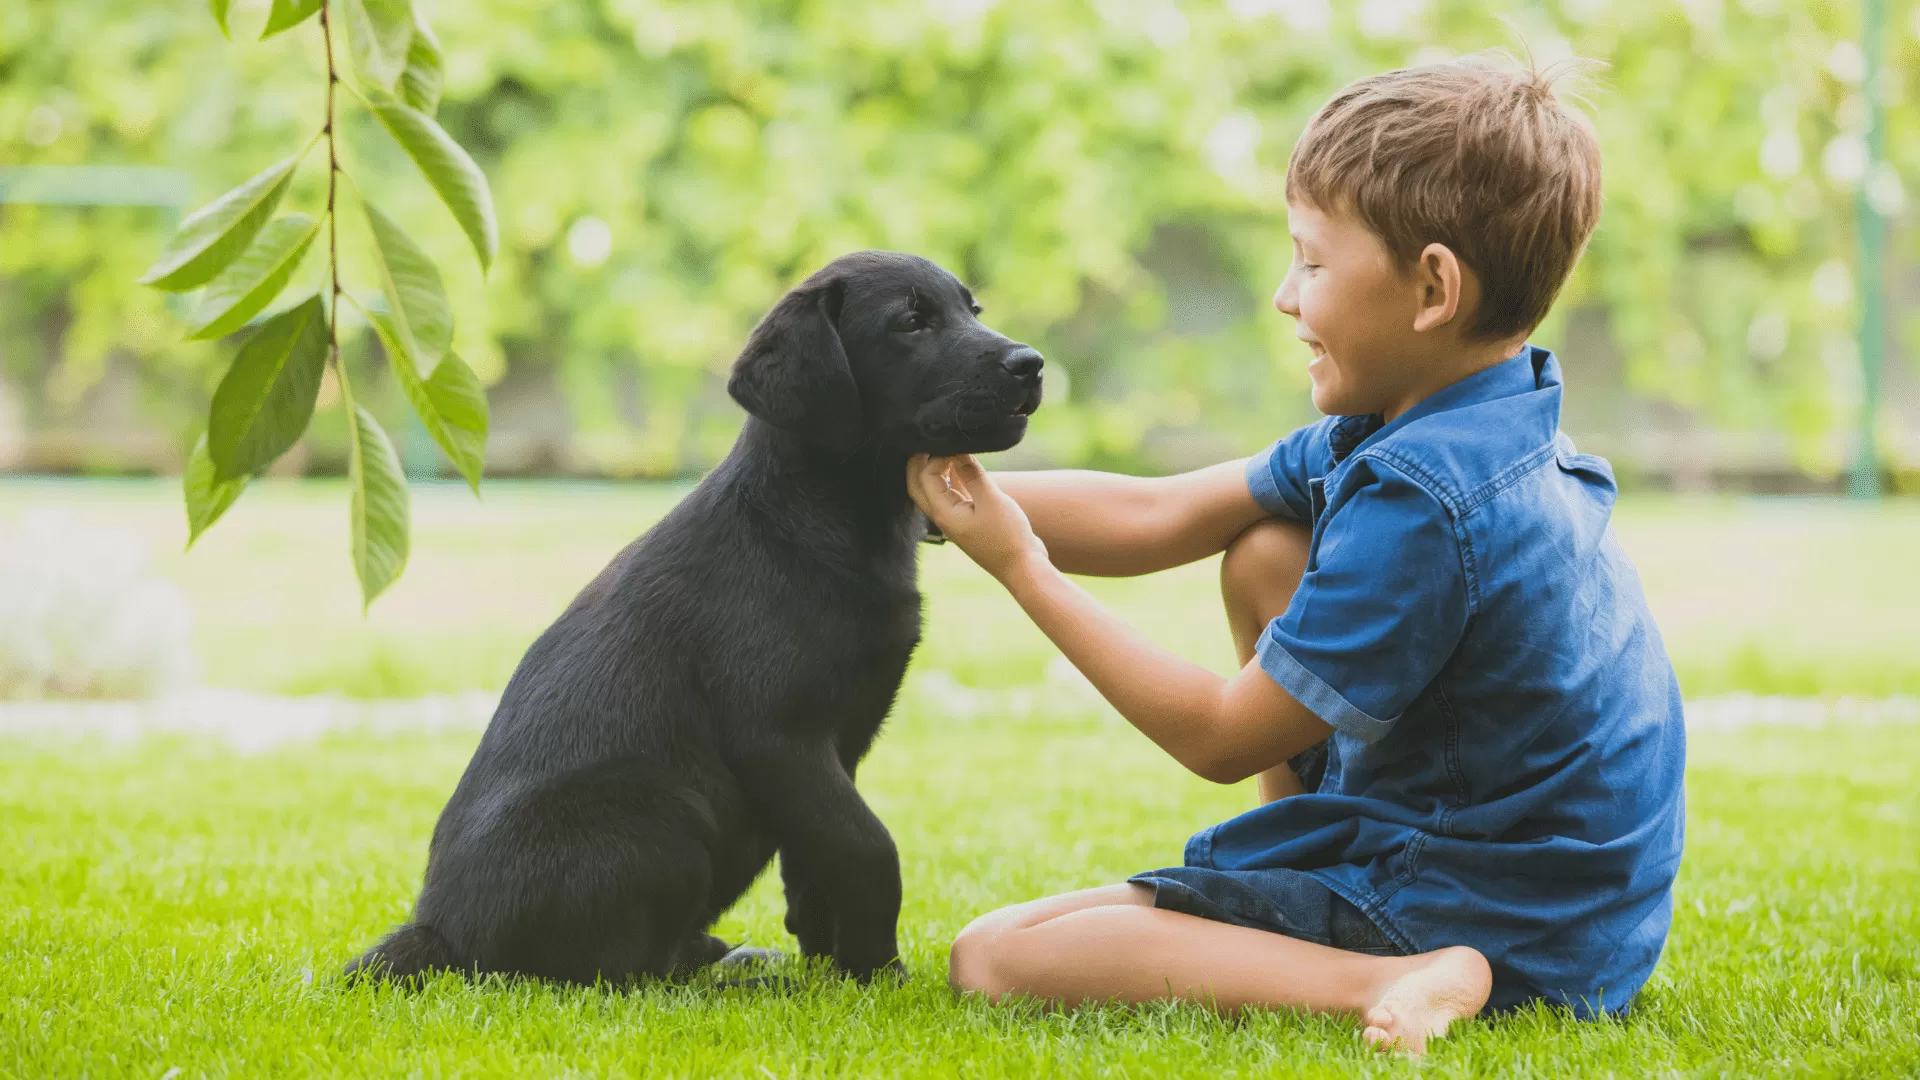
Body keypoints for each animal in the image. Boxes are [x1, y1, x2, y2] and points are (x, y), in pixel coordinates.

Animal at [341, 247, 1036, 980]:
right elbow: (869, 848)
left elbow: (818, 860)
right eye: (911, 322)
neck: (820, 518)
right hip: (660, 810)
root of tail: (439, 932)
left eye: (972, 311)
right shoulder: (780, 734)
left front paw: (833, 965)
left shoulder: (835, 747)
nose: (1032, 363)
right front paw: (878, 971)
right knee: (627, 974)